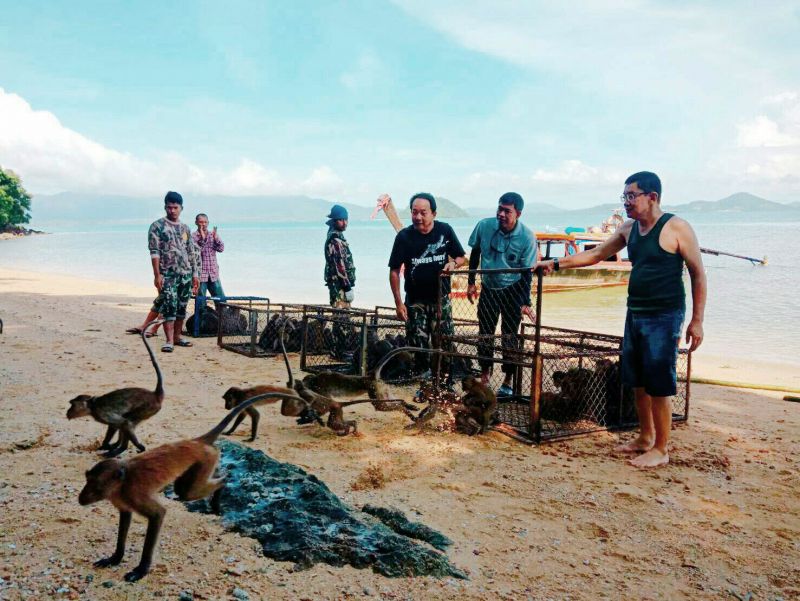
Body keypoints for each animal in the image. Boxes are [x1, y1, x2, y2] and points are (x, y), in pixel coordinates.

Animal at [68, 322, 167, 458]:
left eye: (72, 405)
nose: (68, 412)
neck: (93, 406)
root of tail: (155, 395)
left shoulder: (101, 413)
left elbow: (122, 423)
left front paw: (112, 445)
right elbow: (117, 425)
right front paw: (107, 445)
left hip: (148, 408)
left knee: (127, 421)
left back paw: (123, 448)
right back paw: (117, 446)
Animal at [79, 390, 304, 580]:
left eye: (95, 486)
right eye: (87, 481)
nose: (81, 497)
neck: (121, 482)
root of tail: (197, 442)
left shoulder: (133, 493)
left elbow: (158, 514)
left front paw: (141, 570)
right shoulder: (121, 499)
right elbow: (125, 518)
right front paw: (115, 557)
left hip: (205, 459)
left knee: (186, 492)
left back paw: (223, 484)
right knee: (187, 488)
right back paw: (220, 482)